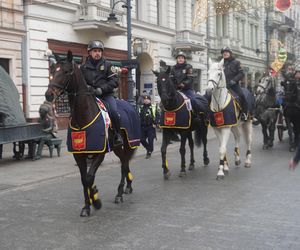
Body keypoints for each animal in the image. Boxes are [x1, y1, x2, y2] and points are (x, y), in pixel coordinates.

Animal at [45, 49, 140, 216]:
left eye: (66, 71)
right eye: (52, 70)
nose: (49, 94)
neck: (83, 117)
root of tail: (130, 105)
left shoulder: (99, 153)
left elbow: (89, 178)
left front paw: (96, 201)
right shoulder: (79, 154)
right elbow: (84, 179)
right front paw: (87, 205)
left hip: (127, 144)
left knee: (124, 164)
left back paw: (120, 193)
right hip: (119, 148)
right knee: (125, 162)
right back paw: (127, 187)